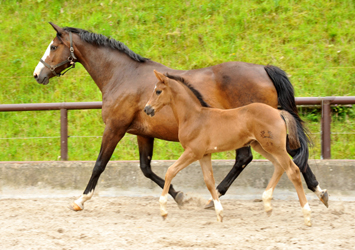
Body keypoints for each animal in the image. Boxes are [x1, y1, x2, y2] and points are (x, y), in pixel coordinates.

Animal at [32, 23, 330, 211]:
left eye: (53, 46)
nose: (38, 74)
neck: (123, 75)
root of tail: (263, 69)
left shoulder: (114, 128)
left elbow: (99, 165)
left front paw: (81, 200)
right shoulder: (143, 133)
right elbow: (146, 168)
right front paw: (180, 197)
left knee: (260, 158)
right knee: (273, 157)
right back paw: (319, 192)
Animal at [145, 70, 312, 227]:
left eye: (158, 91)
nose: (147, 109)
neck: (194, 117)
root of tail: (278, 112)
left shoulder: (193, 152)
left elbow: (170, 171)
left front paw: (163, 211)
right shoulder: (204, 155)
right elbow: (209, 181)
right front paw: (219, 213)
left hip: (275, 147)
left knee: (293, 170)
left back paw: (307, 215)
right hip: (261, 146)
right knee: (279, 166)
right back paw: (267, 205)